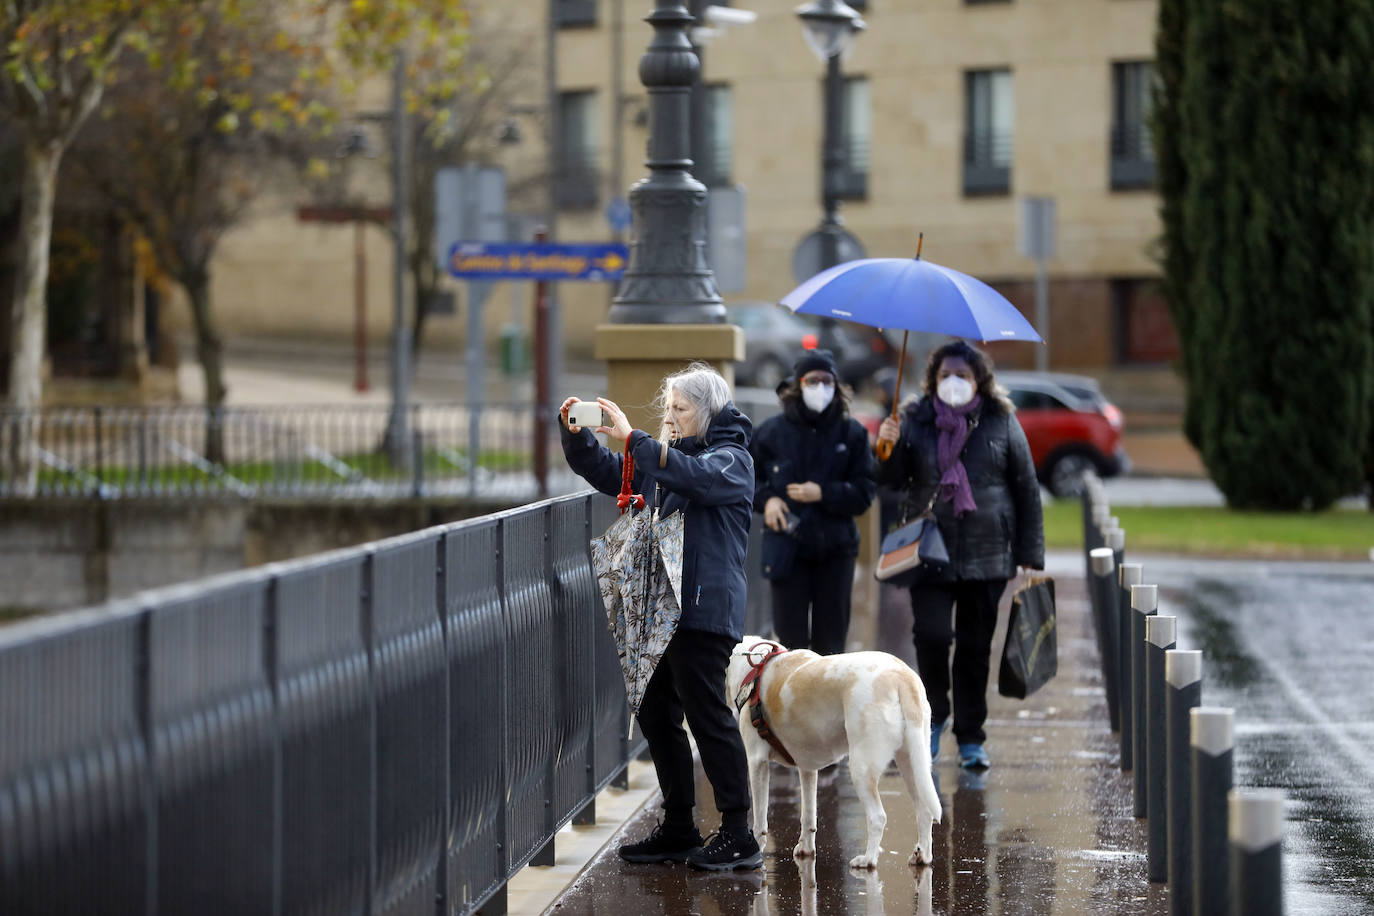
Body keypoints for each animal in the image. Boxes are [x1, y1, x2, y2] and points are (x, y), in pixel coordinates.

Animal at [725, 634, 939, 873]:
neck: (756, 667)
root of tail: (901, 676)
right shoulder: (807, 769)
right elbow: (808, 816)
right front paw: (806, 849)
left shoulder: (757, 762)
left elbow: (760, 819)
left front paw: (757, 849)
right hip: (912, 764)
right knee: (924, 811)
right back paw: (922, 856)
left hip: (862, 768)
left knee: (878, 817)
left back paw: (868, 860)